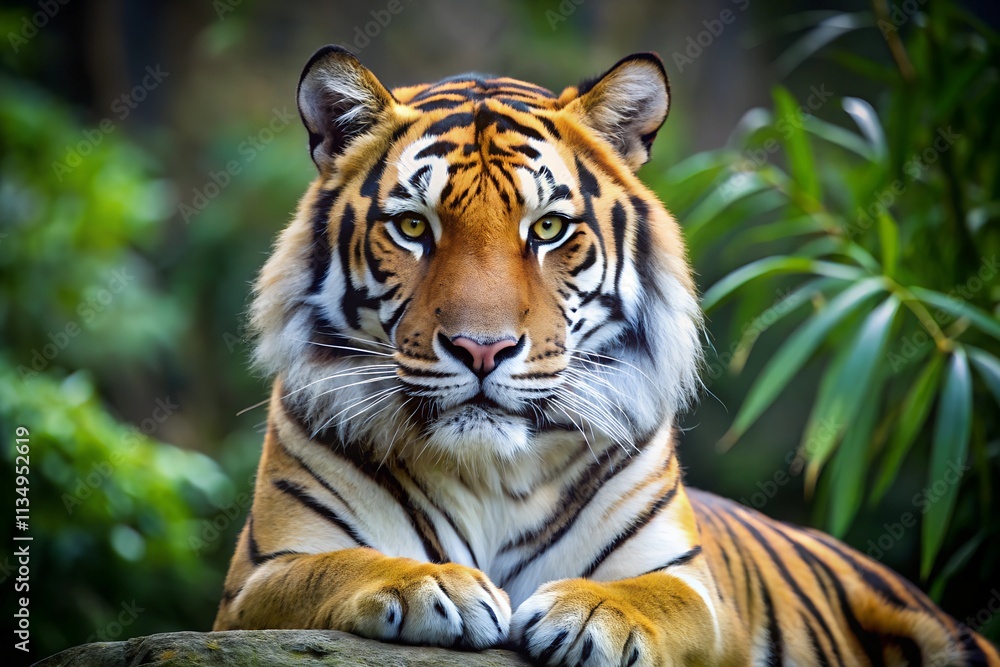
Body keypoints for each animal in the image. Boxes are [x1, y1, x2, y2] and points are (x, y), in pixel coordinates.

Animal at [213, 45, 999, 666]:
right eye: (412, 227)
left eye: (548, 228)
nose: (481, 348)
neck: (490, 472)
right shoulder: (253, 583)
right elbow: (332, 567)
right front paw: (430, 583)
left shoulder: (694, 586)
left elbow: (658, 597)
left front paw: (592, 611)